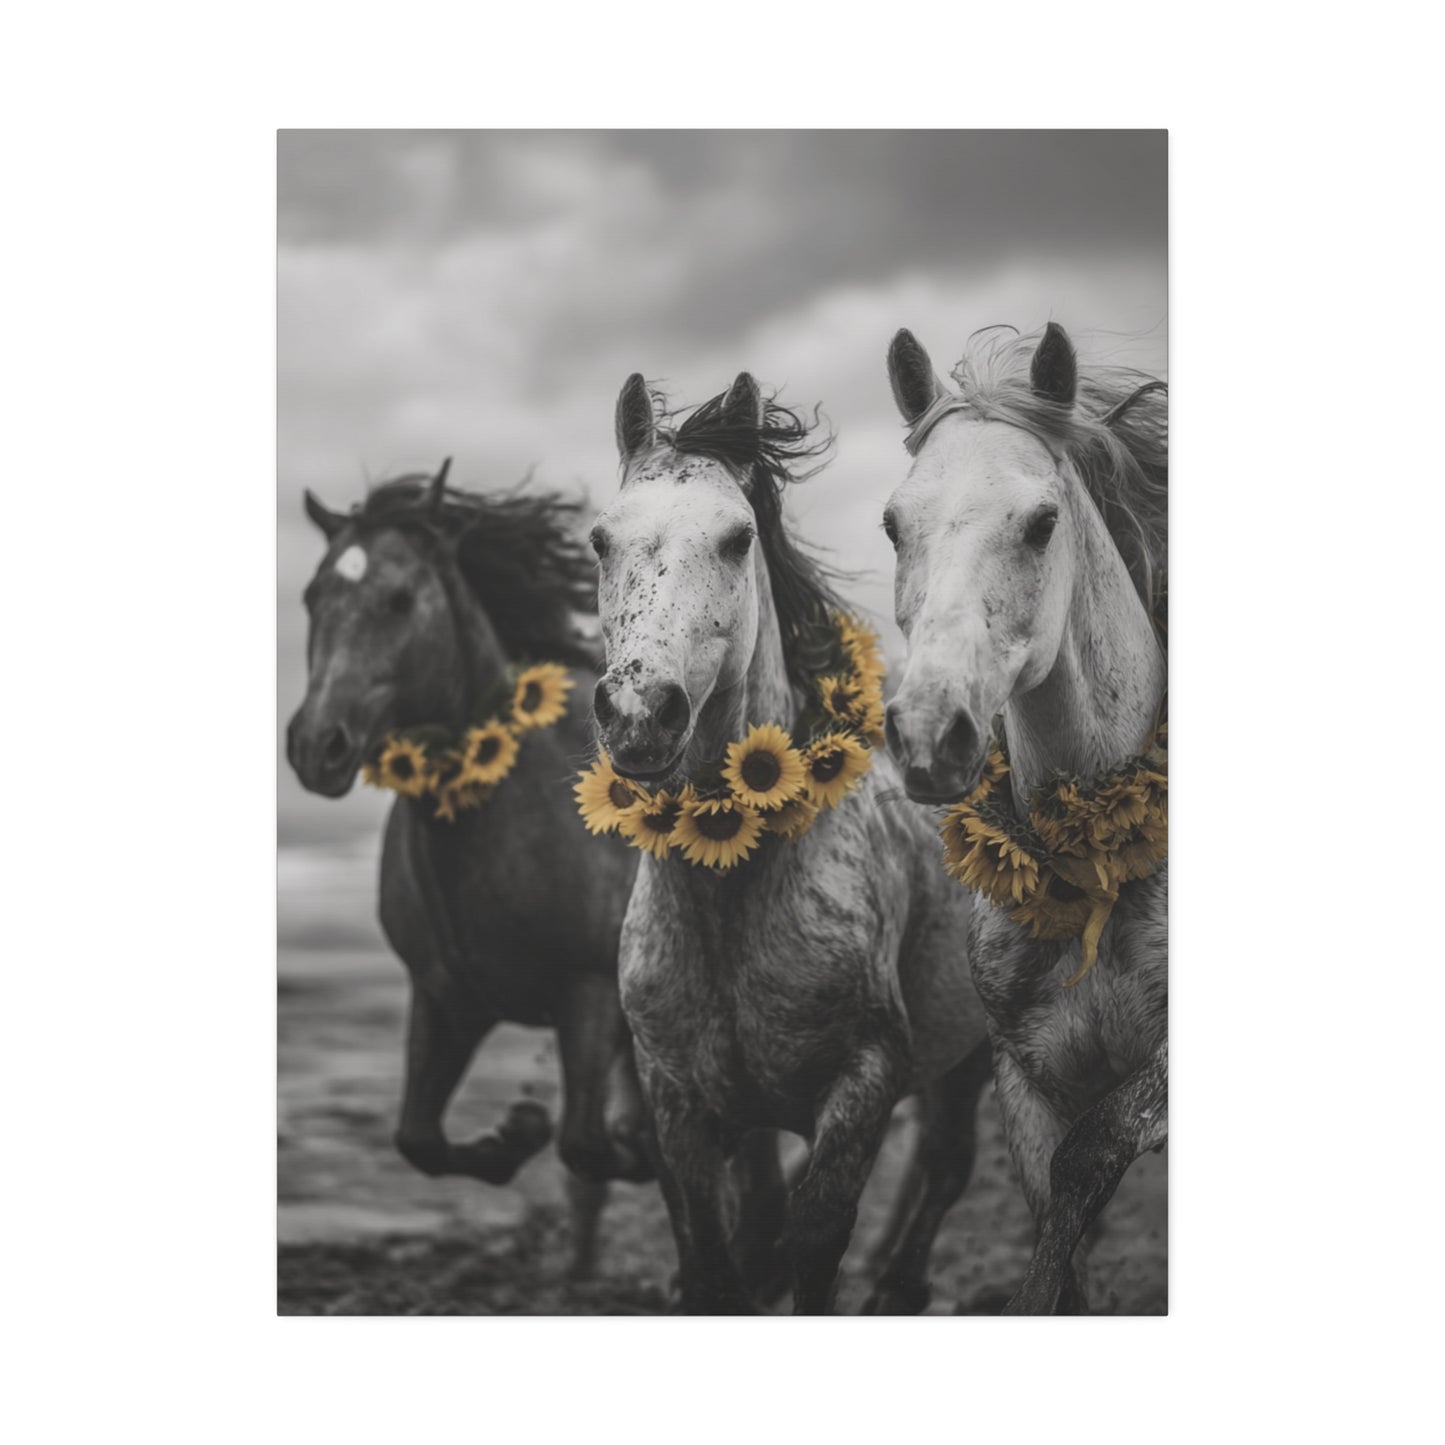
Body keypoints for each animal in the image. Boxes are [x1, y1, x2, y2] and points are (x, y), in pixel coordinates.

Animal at [285, 463, 655, 1277]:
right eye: (311, 597)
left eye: (399, 599)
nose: (316, 746)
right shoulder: (445, 999)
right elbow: (417, 1140)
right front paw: (509, 1136)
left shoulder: (586, 993)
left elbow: (588, 1144)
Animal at [587, 372, 993, 1314]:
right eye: (599, 539)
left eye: (737, 538)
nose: (637, 712)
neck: (729, 888)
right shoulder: (678, 1105)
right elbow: (713, 1257)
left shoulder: (864, 1083)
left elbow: (814, 1242)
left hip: (975, 1054)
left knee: (948, 1161)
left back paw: (897, 1284)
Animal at [882, 322, 1168, 1313]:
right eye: (893, 523)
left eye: (1042, 522)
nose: (929, 733)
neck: (1099, 869)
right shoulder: (1025, 1077)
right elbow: (1057, 1227)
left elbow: (1092, 1159)